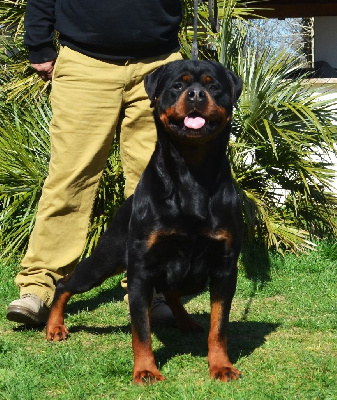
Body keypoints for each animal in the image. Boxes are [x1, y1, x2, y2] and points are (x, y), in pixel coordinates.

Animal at [46, 60, 243, 384]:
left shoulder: (225, 267)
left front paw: (221, 365)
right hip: (106, 258)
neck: (192, 173)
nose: (196, 94)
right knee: (65, 283)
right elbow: (141, 330)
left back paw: (186, 322)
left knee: (173, 291)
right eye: (177, 85)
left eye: (214, 86)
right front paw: (146, 370)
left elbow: (219, 326)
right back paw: (54, 326)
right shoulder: (140, 268)